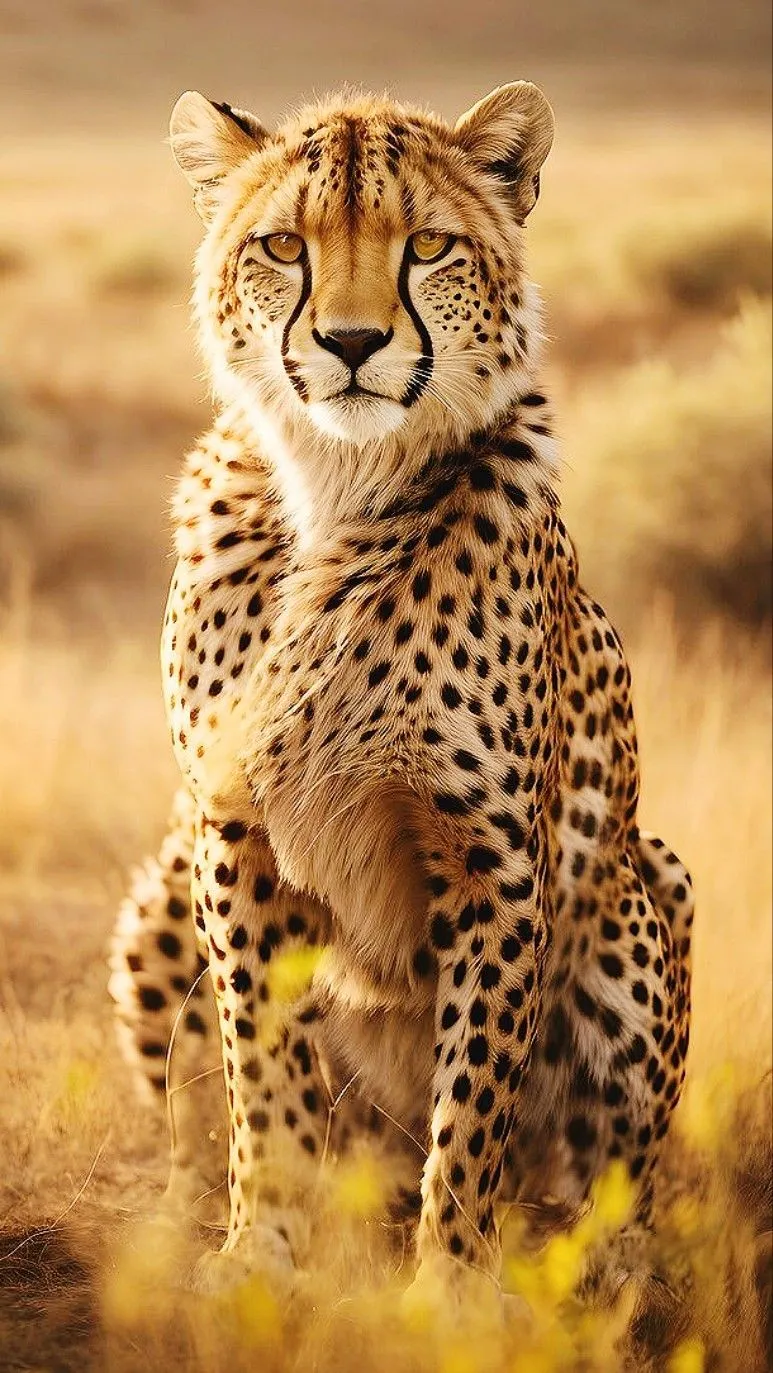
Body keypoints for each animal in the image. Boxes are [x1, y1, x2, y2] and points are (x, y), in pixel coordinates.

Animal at [109, 82, 694, 1309]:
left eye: (426, 246)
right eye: (283, 246)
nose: (349, 343)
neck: (338, 478)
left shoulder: (492, 858)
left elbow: (470, 1102)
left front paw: (449, 1292)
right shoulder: (230, 828)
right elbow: (258, 1065)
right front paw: (261, 1252)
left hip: (644, 881)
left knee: (610, 1188)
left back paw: (607, 1274)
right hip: (159, 899)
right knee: (196, 1131)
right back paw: (186, 1225)